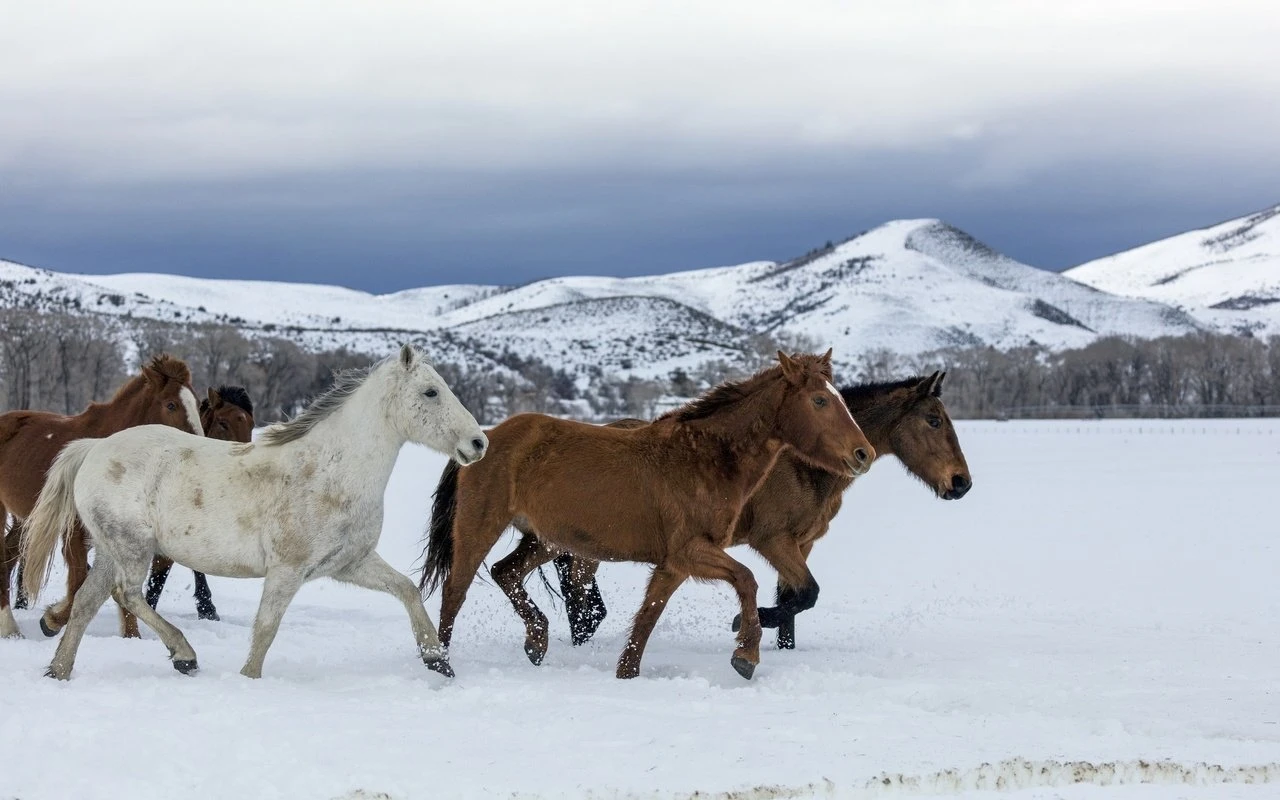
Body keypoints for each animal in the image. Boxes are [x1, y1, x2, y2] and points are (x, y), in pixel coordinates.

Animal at [0, 353, 200, 637]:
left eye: (197, 403)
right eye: (171, 404)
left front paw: (132, 636)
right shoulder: (73, 532)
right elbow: (78, 583)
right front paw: (51, 620)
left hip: (25, 518)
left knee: (7, 557)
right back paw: (10, 626)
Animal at [414, 350, 875, 680]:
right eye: (819, 400)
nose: (863, 454)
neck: (704, 459)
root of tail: (484, 438)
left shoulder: (675, 563)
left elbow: (647, 619)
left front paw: (627, 675)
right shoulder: (692, 551)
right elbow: (747, 579)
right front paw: (745, 654)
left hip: (546, 539)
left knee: (505, 571)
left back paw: (536, 641)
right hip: (480, 526)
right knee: (455, 592)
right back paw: (441, 663)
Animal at [519, 371, 967, 652]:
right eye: (933, 420)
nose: (962, 482)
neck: (803, 462)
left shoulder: (801, 544)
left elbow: (794, 600)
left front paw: (777, 644)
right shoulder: (773, 541)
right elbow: (807, 594)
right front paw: (746, 624)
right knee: (576, 595)